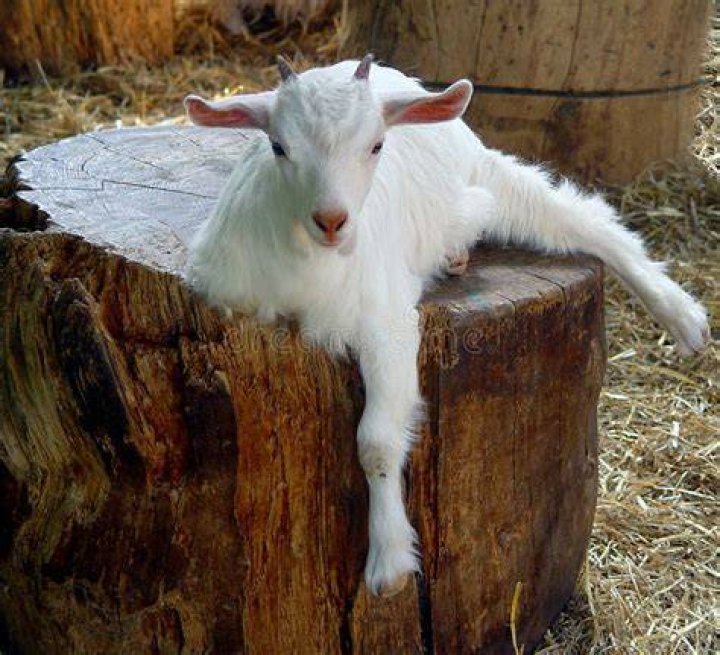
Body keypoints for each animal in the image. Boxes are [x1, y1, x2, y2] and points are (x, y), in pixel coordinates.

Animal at [184, 55, 710, 597]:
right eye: (278, 146)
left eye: (376, 145)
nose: (332, 220)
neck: (312, 264)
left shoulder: (388, 323)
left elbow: (376, 441)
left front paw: (389, 562)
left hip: (483, 173)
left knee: (581, 218)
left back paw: (683, 318)